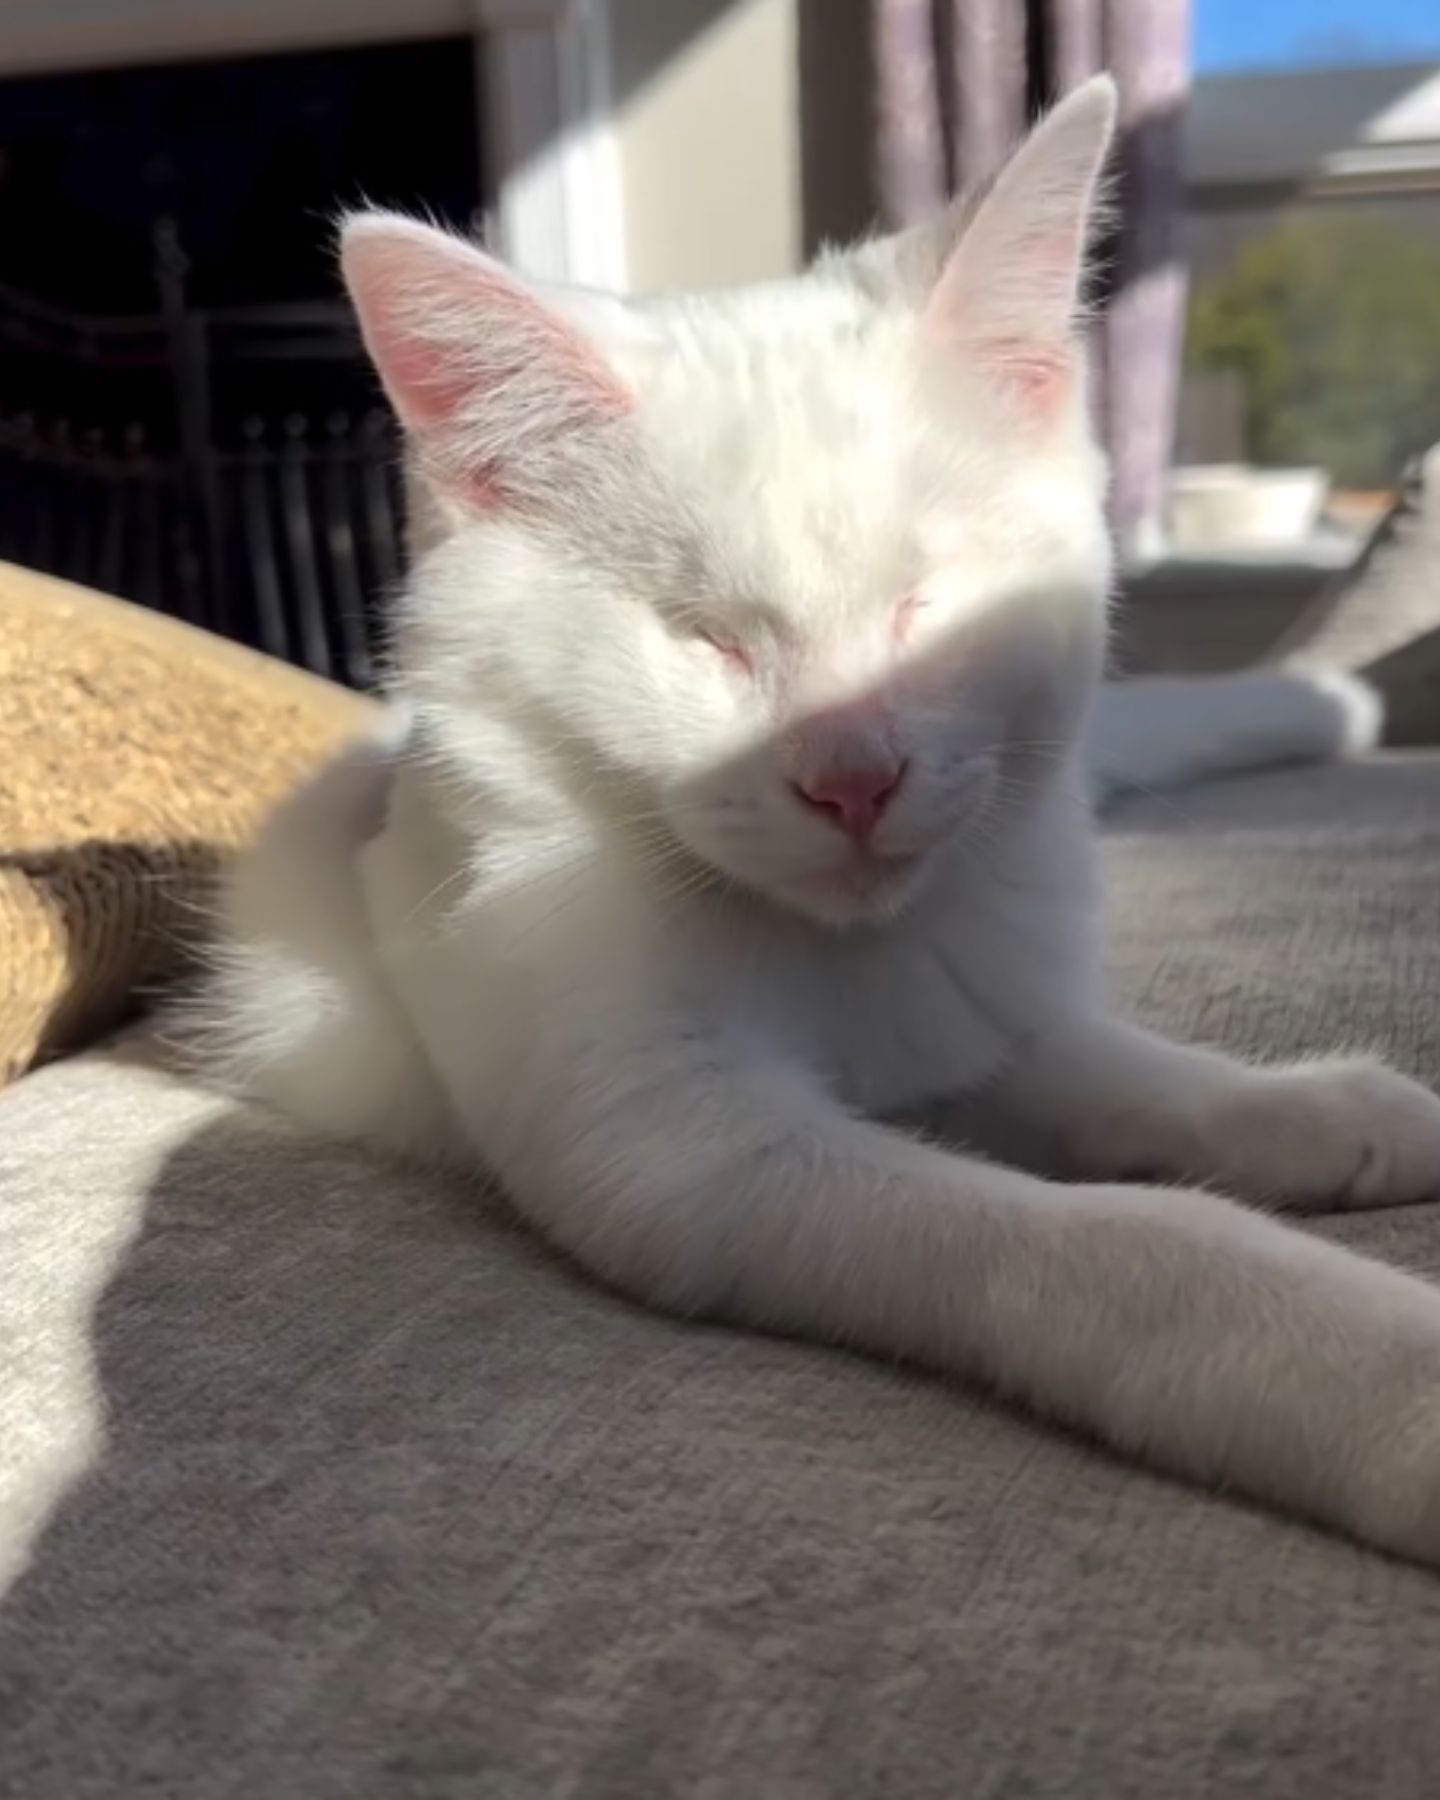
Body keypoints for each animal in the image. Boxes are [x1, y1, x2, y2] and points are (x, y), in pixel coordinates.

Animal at [188, 84, 1440, 1569]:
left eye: (927, 606)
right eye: (709, 639)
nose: (854, 778)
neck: (844, 954)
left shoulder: (969, 1009)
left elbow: (1117, 1071)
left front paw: (1311, 1107)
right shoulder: (676, 1146)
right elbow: (1102, 1242)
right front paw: (1377, 1373)